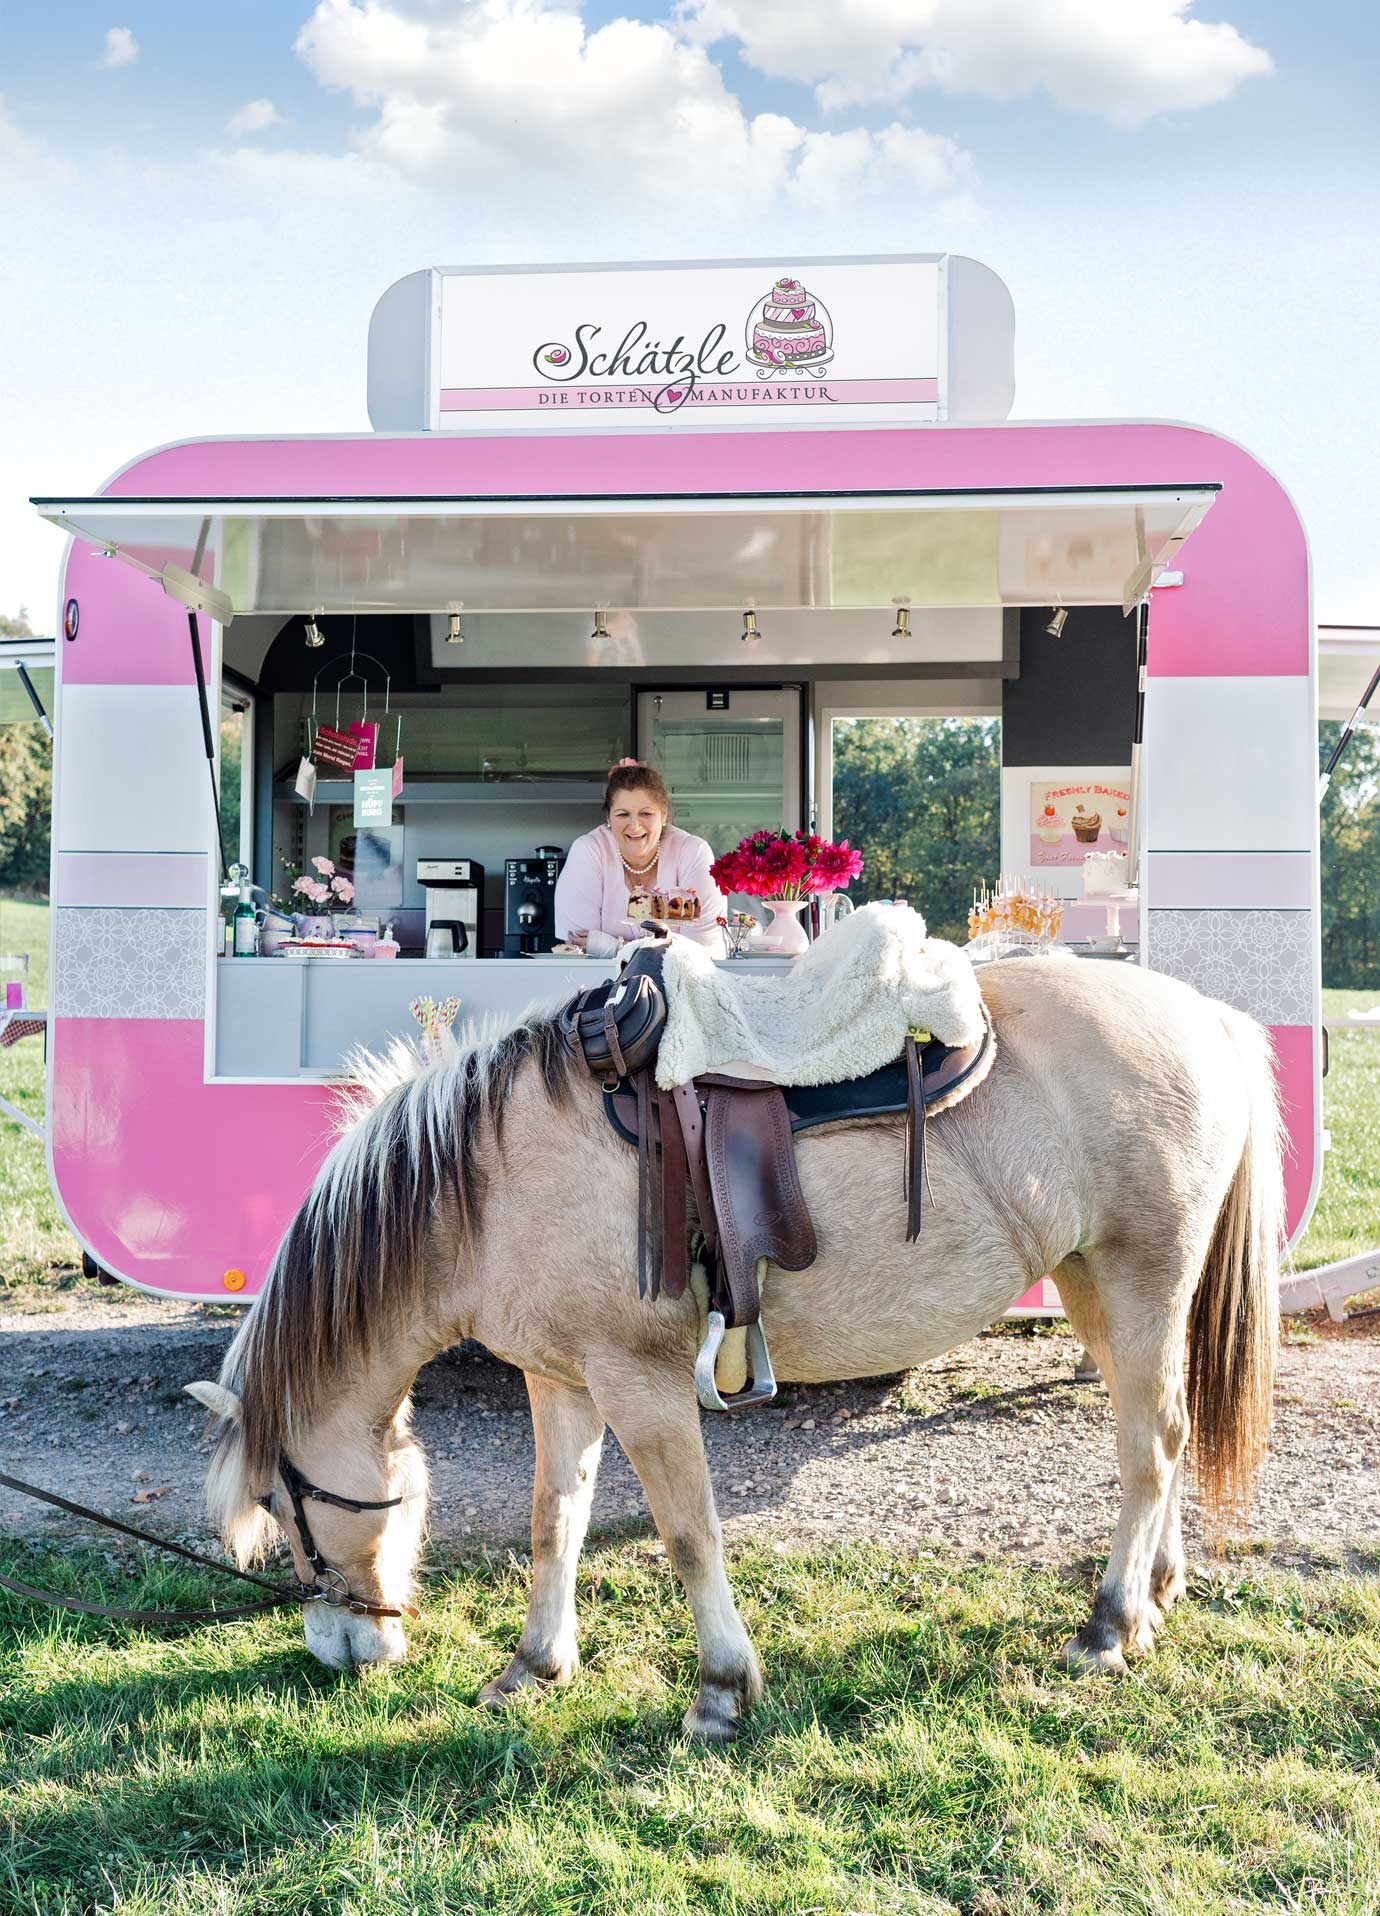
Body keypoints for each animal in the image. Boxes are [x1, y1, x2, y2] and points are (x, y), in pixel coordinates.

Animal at [185, 954, 1280, 1739]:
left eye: (279, 1502)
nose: (337, 1648)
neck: (491, 1180)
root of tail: (1207, 1015)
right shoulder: (560, 1380)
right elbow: (553, 1522)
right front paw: (534, 1664)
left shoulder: (640, 1381)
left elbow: (688, 1533)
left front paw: (720, 1687)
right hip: (1098, 1282)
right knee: (1170, 1432)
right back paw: (1158, 1589)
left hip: (1141, 1277)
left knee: (1150, 1446)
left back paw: (1111, 1622)